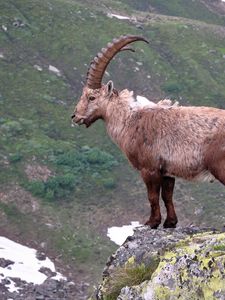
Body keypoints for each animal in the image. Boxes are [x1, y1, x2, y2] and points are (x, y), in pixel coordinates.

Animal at [71, 34, 225, 227]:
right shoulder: (167, 172)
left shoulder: (148, 168)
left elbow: (152, 197)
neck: (130, 121)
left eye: (92, 97)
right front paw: (170, 222)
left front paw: (152, 222)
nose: (75, 116)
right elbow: (167, 196)